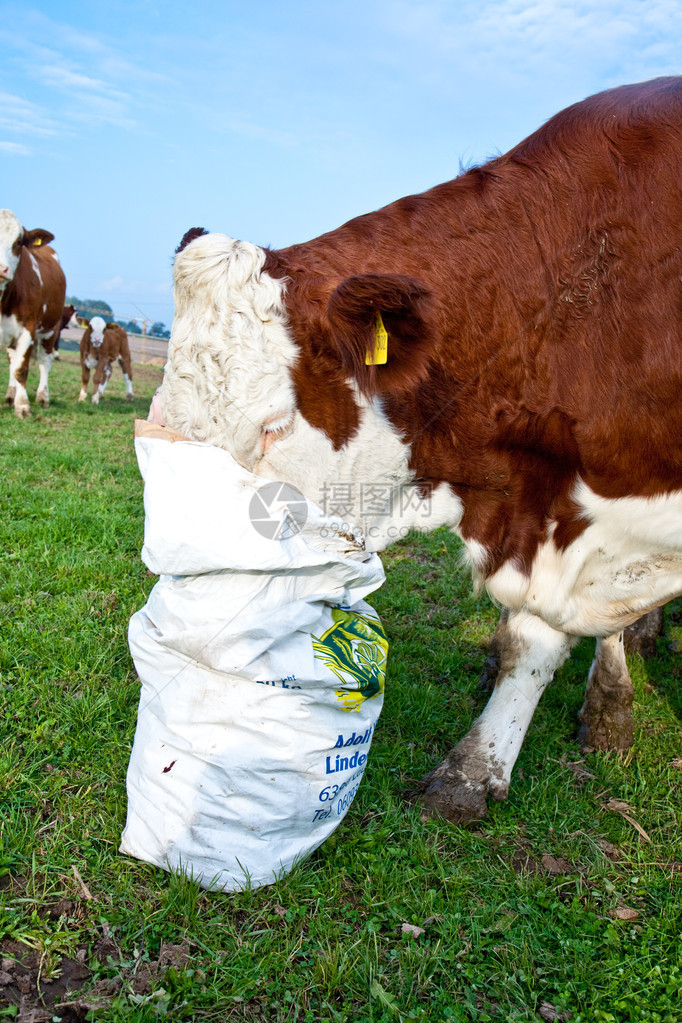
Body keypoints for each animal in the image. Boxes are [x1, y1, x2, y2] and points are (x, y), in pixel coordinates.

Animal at [0, 207, 66, 415]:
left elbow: (21, 369)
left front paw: (22, 406)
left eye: (19, 242)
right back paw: (10, 394)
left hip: (51, 329)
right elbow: (14, 365)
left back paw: (42, 397)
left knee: (44, 361)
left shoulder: (27, 329)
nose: (1, 269)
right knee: (12, 360)